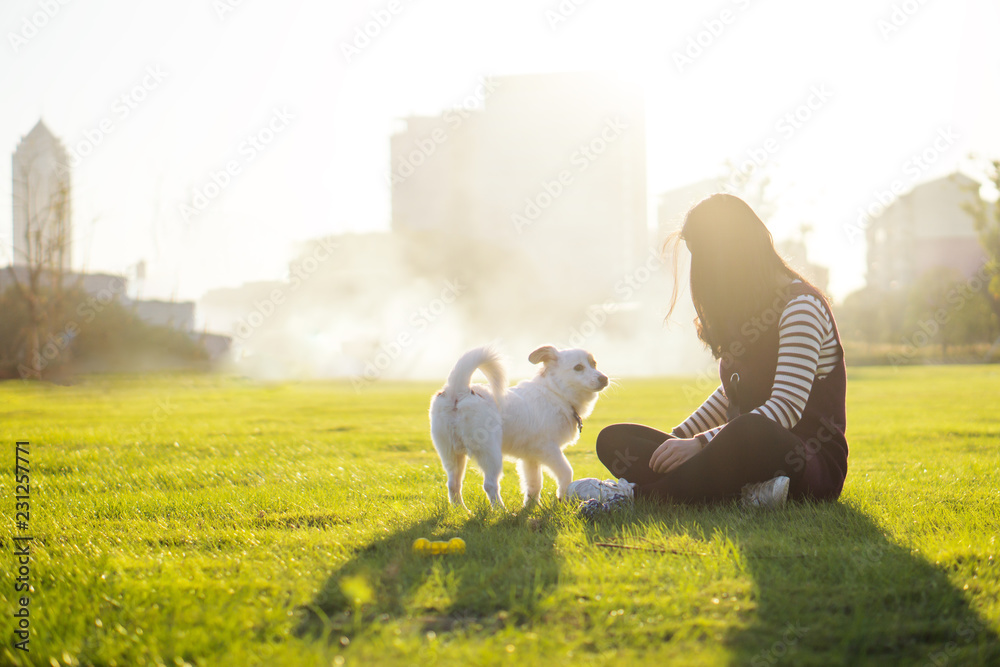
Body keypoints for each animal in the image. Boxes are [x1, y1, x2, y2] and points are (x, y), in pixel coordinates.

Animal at [426, 348, 604, 508]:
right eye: (578, 367)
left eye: (594, 364)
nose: (604, 378)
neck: (556, 393)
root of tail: (459, 391)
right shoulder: (548, 449)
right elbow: (566, 472)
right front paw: (563, 499)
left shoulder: (531, 457)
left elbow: (534, 483)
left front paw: (531, 507)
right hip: (490, 454)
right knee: (489, 484)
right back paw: (501, 511)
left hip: (451, 454)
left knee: (453, 484)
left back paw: (462, 511)